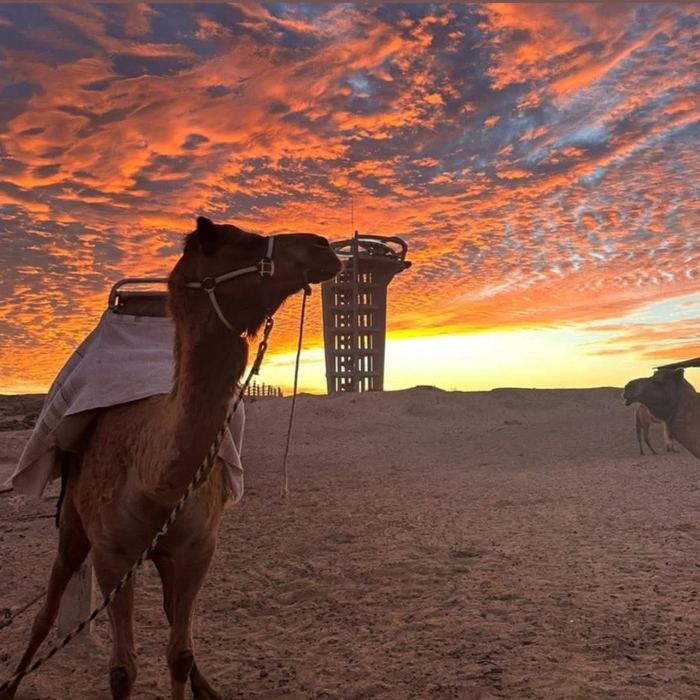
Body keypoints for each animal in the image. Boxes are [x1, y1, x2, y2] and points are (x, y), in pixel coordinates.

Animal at [1, 217, 341, 700]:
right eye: (239, 241)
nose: (324, 245)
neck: (155, 482)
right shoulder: (112, 554)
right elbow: (122, 669)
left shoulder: (198, 548)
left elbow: (179, 654)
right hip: (73, 526)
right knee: (45, 610)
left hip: (163, 553)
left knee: (168, 614)